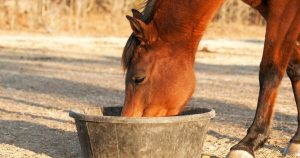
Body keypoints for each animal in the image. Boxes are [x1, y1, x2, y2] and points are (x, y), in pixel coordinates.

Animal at [120, 0, 298, 157]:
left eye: (139, 78)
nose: (127, 119)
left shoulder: (285, 10)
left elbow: (270, 71)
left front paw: (248, 143)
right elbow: (295, 69)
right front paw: (296, 141)